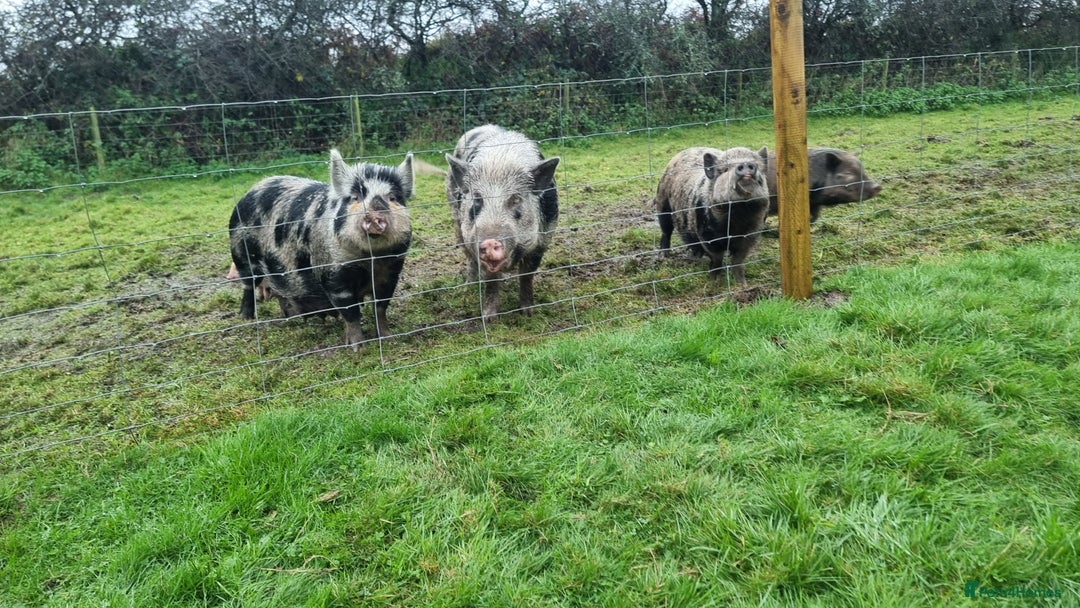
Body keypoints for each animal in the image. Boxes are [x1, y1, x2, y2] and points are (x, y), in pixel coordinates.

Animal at [228, 149, 413, 349]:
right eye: (355, 198)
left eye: (393, 198)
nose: (374, 215)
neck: (370, 260)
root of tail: (252, 189)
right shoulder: (332, 275)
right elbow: (351, 313)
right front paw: (358, 347)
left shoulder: (391, 272)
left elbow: (380, 308)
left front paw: (389, 338)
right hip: (242, 256)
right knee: (248, 286)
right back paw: (246, 317)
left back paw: (289, 316)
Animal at [445, 125, 560, 323]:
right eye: (477, 199)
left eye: (516, 199)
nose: (490, 241)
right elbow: (491, 281)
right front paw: (488, 319)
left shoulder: (543, 239)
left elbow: (527, 276)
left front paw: (527, 313)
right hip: (456, 221)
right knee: (469, 259)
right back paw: (467, 287)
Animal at [655, 146, 770, 284]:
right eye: (724, 170)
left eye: (758, 166)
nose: (746, 164)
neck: (737, 216)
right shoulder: (706, 232)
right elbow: (717, 258)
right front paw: (714, 281)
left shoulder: (752, 233)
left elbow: (738, 260)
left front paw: (742, 284)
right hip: (662, 201)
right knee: (666, 231)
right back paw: (664, 256)